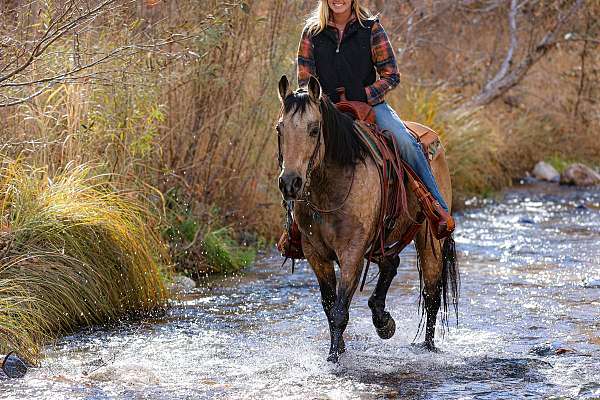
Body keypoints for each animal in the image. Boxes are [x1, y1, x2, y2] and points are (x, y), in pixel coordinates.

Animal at [276, 74, 460, 362]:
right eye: (279, 129)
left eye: (314, 129)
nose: (290, 183)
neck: (330, 188)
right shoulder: (315, 254)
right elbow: (329, 306)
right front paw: (339, 349)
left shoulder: (352, 253)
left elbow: (340, 311)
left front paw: (334, 358)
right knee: (391, 264)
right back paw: (383, 320)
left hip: (430, 239)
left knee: (431, 293)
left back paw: (428, 347)